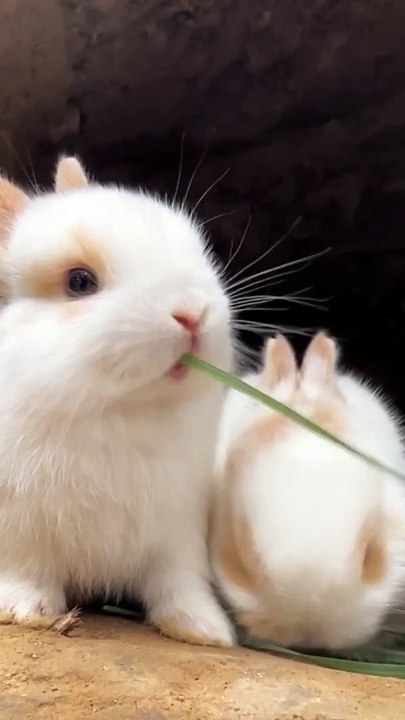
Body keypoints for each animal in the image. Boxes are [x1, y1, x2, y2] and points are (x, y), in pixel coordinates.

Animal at [0, 156, 236, 646]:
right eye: (79, 281)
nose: (192, 313)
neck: (120, 415)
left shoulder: (178, 533)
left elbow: (180, 583)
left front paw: (205, 629)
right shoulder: (18, 529)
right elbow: (25, 569)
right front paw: (25, 610)